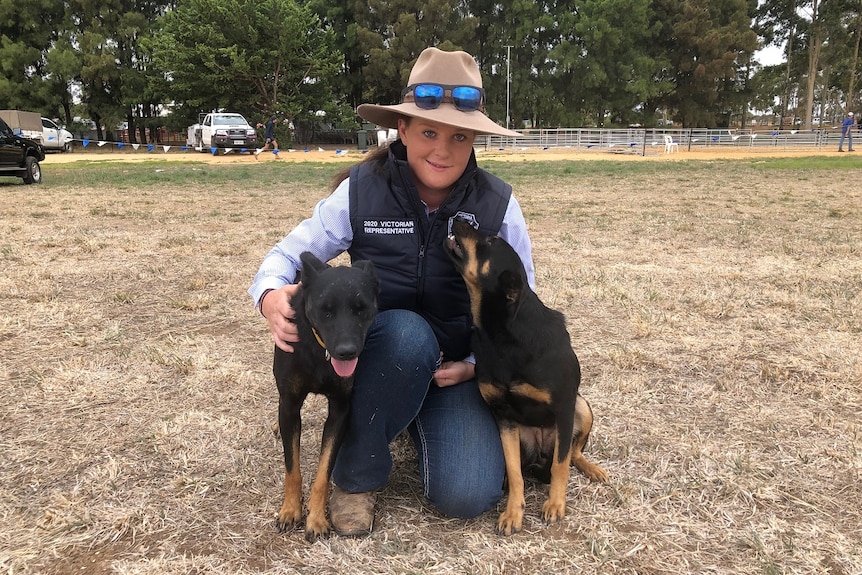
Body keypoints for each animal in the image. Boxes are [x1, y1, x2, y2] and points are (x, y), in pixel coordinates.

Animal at [272, 252, 376, 540]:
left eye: (361, 309)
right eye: (325, 310)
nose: (347, 352)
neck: (319, 350)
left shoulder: (340, 410)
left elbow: (323, 473)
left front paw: (317, 519)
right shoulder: (290, 405)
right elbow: (292, 468)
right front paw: (290, 510)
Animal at [448, 219, 612, 536]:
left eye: (490, 241)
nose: (462, 219)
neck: (502, 334)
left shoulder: (563, 407)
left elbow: (561, 465)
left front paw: (555, 505)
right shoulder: (504, 417)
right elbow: (514, 472)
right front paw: (514, 512)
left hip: (582, 407)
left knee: (572, 454)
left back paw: (593, 469)